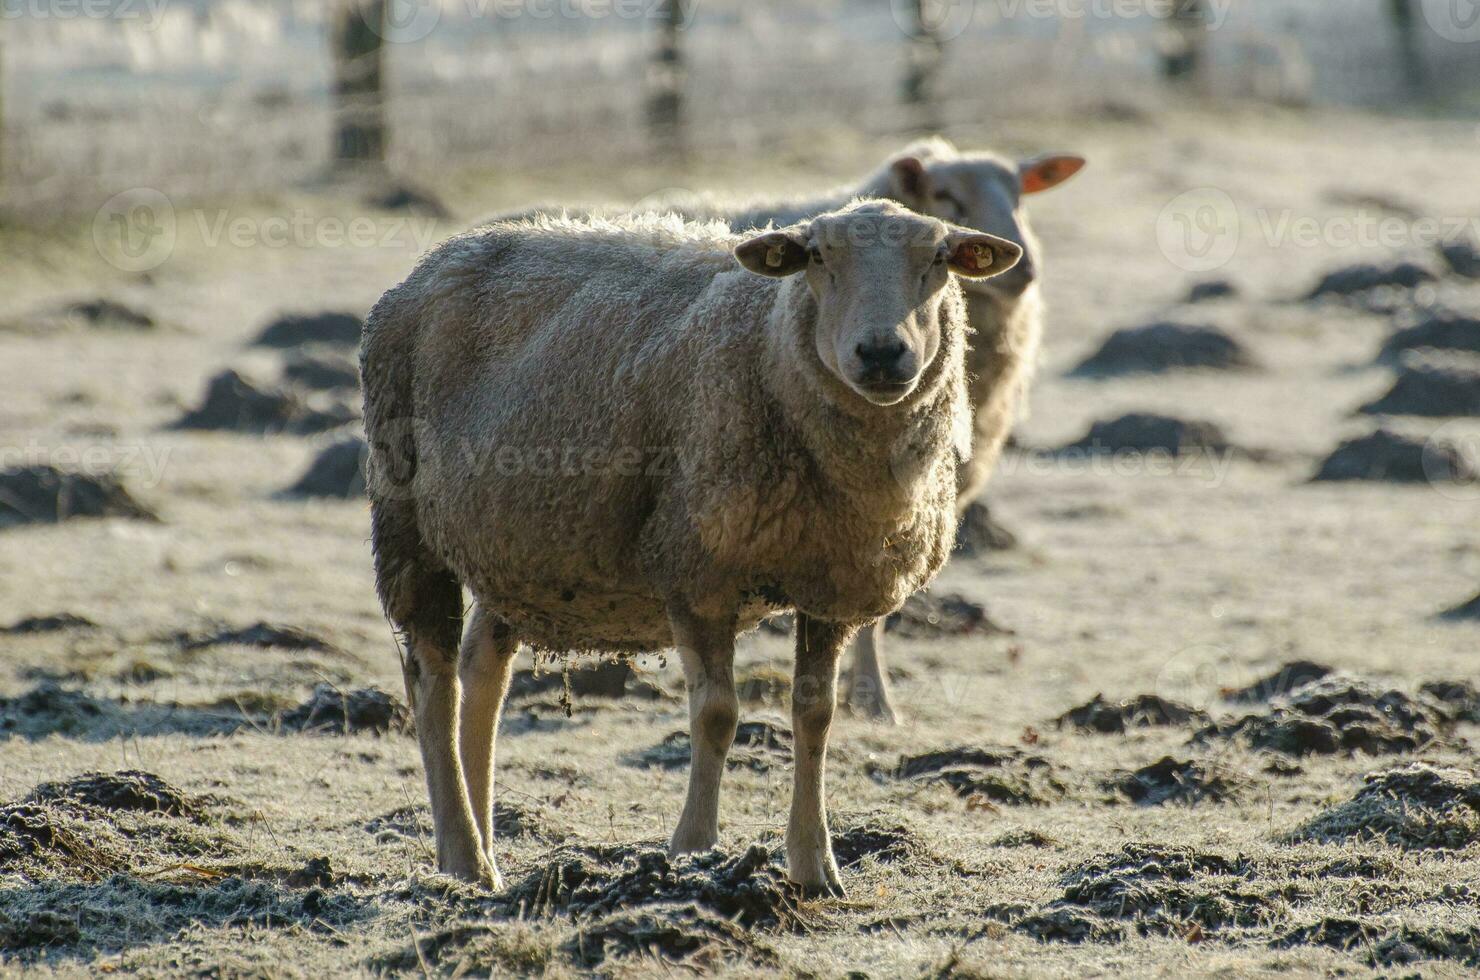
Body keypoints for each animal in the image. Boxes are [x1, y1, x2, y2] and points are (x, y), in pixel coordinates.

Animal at [364, 202, 1024, 894]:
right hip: (407, 522)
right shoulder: (695, 571)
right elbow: (716, 714)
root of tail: (440, 258)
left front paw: (815, 866)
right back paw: (463, 856)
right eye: (818, 257)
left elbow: (815, 715)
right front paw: (693, 850)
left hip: (517, 549)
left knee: (483, 675)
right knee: (433, 684)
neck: (769, 347)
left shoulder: (831, 586)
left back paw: (486, 853)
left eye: (939, 259)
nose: (880, 352)